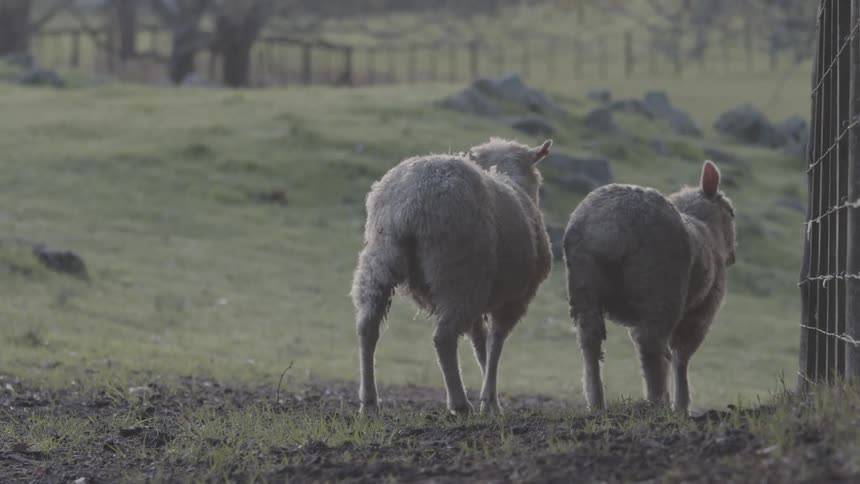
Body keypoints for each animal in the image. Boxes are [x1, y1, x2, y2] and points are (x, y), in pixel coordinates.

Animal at [351, 138, 554, 415]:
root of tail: (412, 200)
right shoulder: (515, 300)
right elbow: (495, 344)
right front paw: (491, 401)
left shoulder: (484, 300)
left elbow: (480, 344)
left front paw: (488, 398)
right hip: (459, 274)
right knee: (443, 338)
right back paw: (459, 403)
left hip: (380, 260)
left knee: (367, 326)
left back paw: (369, 401)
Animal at [563, 160, 736, 414]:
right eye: (731, 212)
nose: (732, 257)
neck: (706, 228)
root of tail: (613, 226)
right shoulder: (703, 311)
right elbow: (682, 357)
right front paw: (682, 407)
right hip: (661, 291)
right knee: (651, 346)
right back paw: (657, 404)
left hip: (584, 285)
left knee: (590, 341)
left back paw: (596, 403)